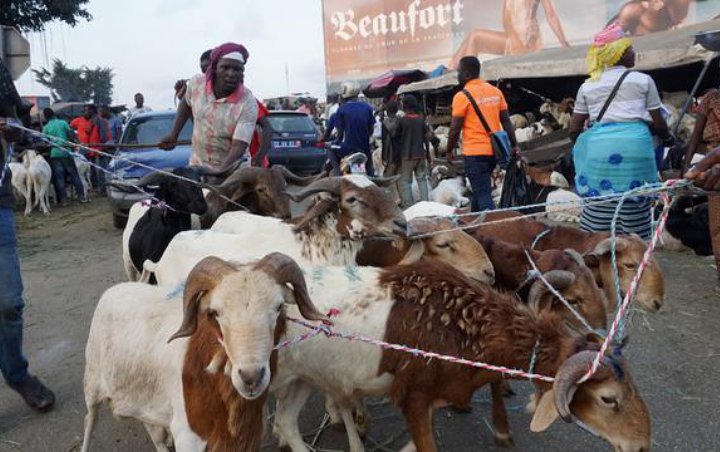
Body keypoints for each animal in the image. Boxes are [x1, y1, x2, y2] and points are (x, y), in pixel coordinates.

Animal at [81, 252, 326, 452]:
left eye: (278, 307)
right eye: (215, 312)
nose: (251, 377)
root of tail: (115, 290)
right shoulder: (188, 436)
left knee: (153, 430)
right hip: (91, 382)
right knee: (89, 420)